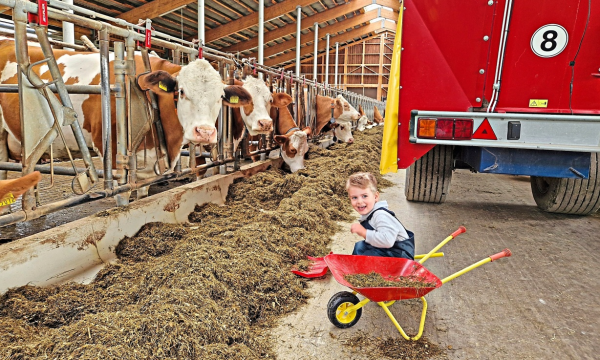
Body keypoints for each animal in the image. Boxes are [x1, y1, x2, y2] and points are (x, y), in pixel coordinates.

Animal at [0, 38, 252, 198]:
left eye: (220, 97)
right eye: (181, 91)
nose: (206, 133)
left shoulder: (148, 164)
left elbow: (142, 192)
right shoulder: (110, 149)